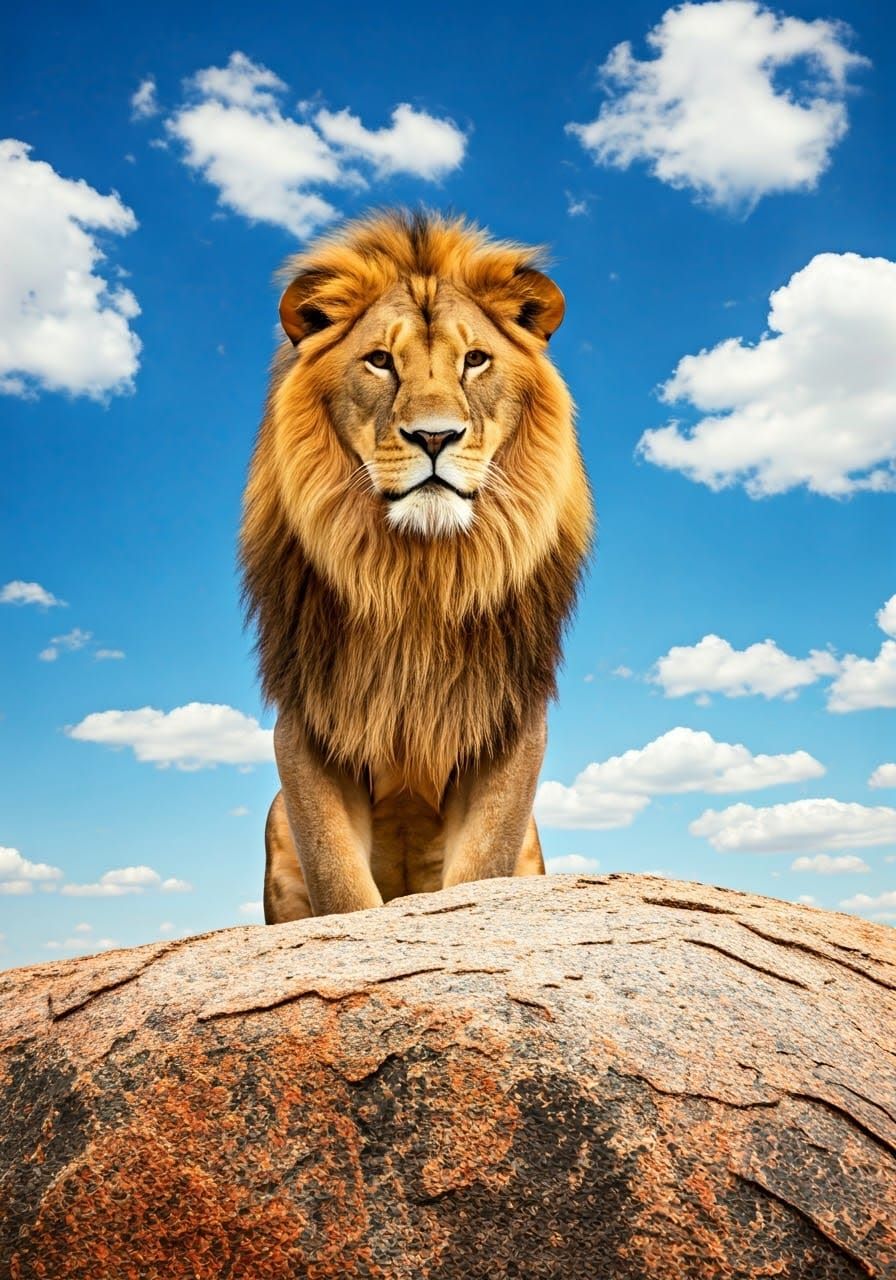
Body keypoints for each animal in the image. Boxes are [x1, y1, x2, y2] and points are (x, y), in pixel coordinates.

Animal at [240, 210, 593, 922]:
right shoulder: (309, 725)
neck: (418, 576)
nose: (435, 436)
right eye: (380, 361)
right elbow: (341, 886)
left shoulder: (507, 726)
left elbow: (482, 869)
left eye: (475, 360)